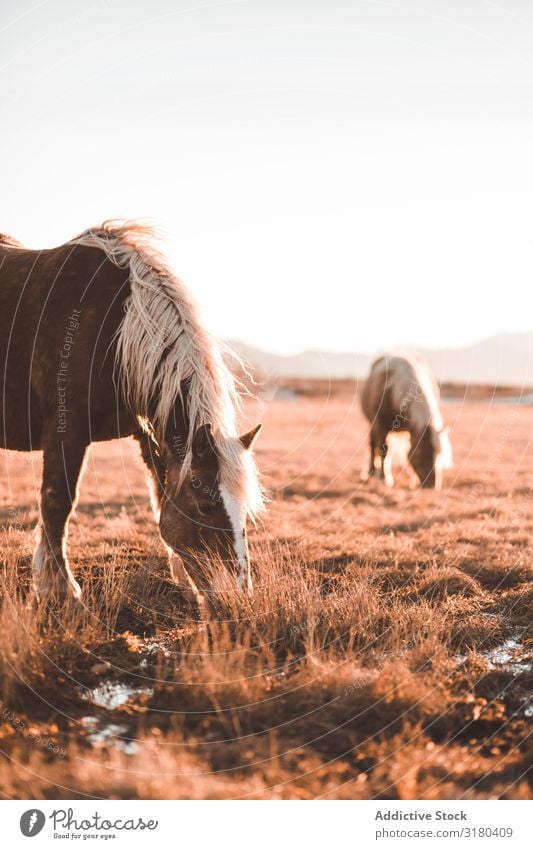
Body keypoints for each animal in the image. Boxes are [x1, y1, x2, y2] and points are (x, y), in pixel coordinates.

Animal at [0, 222, 264, 600]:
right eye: (206, 506)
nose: (237, 594)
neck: (115, 332)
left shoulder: (147, 433)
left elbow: (160, 494)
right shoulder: (66, 432)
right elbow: (58, 503)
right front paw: (61, 588)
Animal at [360, 352, 450, 486]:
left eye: (439, 453)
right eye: (420, 452)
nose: (431, 484)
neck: (392, 391)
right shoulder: (380, 426)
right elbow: (383, 449)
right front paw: (384, 478)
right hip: (372, 424)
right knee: (372, 445)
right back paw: (370, 473)